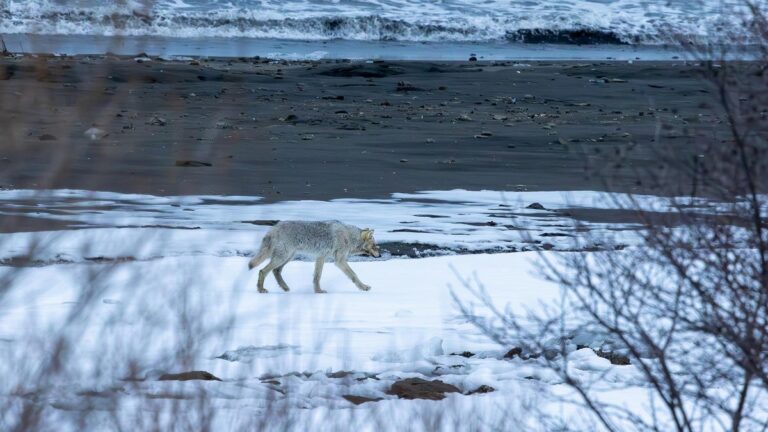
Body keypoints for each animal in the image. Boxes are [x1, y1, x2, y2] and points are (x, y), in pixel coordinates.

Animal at [248, 220, 381, 293]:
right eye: (375, 246)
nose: (380, 255)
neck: (349, 236)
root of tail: (274, 228)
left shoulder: (321, 257)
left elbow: (317, 277)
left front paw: (318, 291)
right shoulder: (339, 261)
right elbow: (354, 275)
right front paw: (364, 287)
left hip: (288, 257)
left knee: (276, 271)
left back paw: (285, 288)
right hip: (282, 257)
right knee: (262, 271)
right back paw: (261, 289)